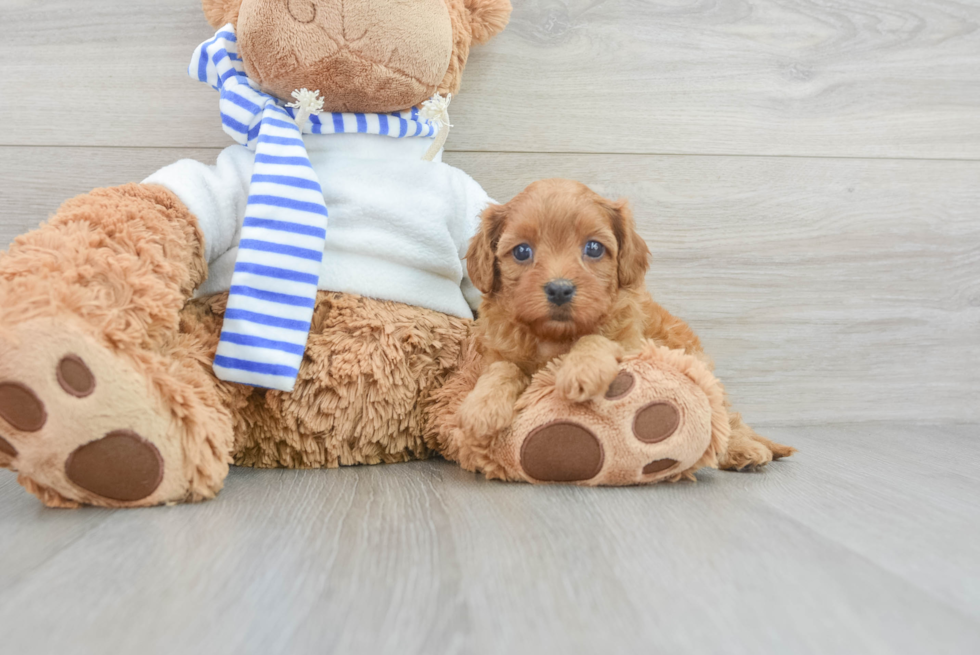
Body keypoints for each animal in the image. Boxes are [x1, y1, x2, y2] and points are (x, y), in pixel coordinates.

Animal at [462, 177, 796, 468]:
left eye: (594, 248)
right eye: (522, 251)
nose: (559, 289)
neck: (555, 336)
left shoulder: (632, 344)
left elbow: (596, 338)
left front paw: (582, 369)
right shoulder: (498, 351)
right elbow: (502, 369)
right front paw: (482, 407)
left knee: (726, 417)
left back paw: (743, 449)